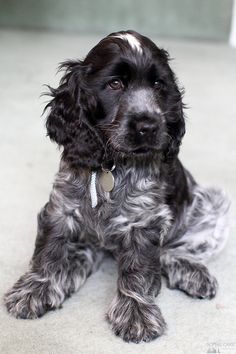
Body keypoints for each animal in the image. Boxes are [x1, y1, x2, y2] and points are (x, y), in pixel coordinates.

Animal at [4, 29, 230, 342]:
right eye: (114, 84)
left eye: (159, 85)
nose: (149, 126)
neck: (111, 165)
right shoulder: (60, 208)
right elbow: (49, 251)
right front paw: (35, 289)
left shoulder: (145, 222)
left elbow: (138, 269)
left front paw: (136, 313)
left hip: (212, 201)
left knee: (174, 250)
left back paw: (192, 272)